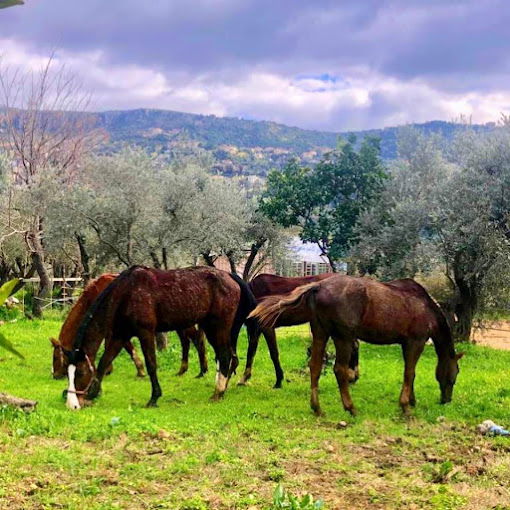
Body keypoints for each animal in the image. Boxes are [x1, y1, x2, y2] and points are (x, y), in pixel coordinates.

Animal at [52, 274, 209, 378]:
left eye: (55, 357)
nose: (56, 375)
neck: (97, 294)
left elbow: (125, 348)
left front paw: (138, 370)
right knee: (186, 342)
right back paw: (183, 370)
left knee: (196, 340)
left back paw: (202, 371)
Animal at [249, 276, 464, 416]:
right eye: (456, 373)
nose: (446, 400)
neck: (426, 307)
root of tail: (318, 286)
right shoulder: (415, 342)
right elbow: (409, 373)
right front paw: (405, 405)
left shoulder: (406, 344)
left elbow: (410, 373)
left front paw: (411, 400)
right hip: (342, 337)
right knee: (339, 369)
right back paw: (350, 407)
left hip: (320, 333)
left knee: (315, 367)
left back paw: (317, 408)